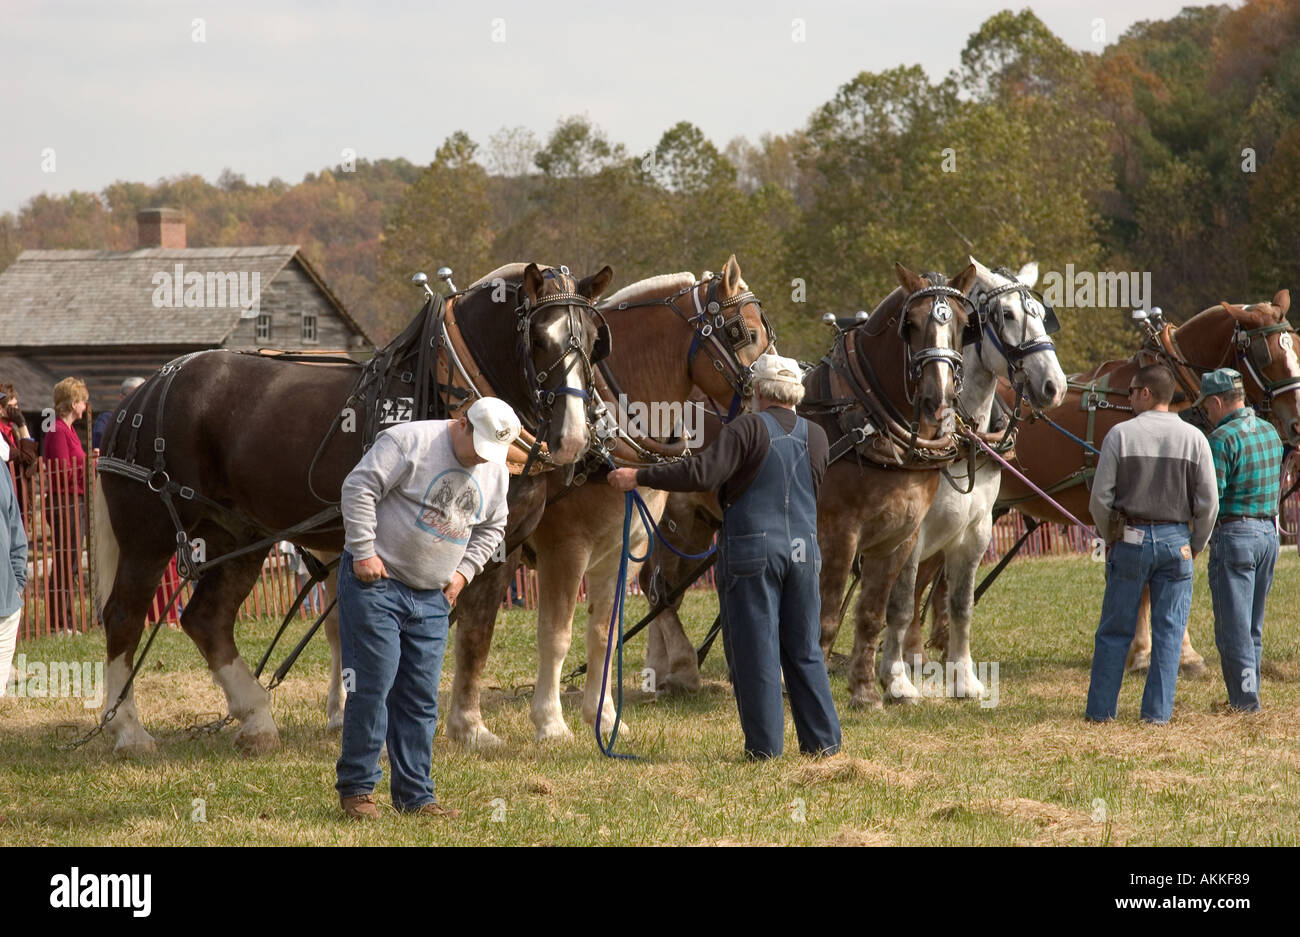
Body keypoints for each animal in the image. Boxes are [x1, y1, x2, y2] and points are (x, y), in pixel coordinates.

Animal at [94, 261, 613, 753]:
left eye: (592, 341)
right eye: (539, 339)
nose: (573, 437)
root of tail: (138, 396)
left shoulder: (500, 547)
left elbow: (474, 636)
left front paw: (469, 728)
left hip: (239, 535)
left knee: (208, 619)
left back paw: (256, 719)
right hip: (149, 532)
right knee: (124, 615)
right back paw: (129, 731)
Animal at [441, 253, 774, 743]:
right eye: (744, 333)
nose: (782, 399)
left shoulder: (624, 549)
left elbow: (605, 631)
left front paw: (603, 715)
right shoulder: (566, 550)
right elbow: (557, 634)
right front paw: (551, 721)